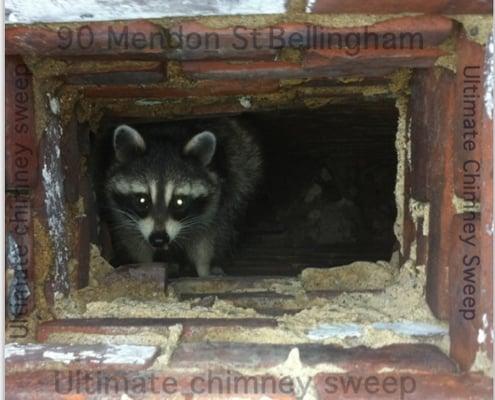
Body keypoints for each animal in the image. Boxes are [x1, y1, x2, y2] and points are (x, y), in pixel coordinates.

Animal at [100, 117, 264, 276]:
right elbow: (135, 243)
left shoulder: (214, 203)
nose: (159, 239)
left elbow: (205, 239)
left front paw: (204, 270)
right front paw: (145, 266)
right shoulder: (122, 216)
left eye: (179, 202)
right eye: (142, 200)